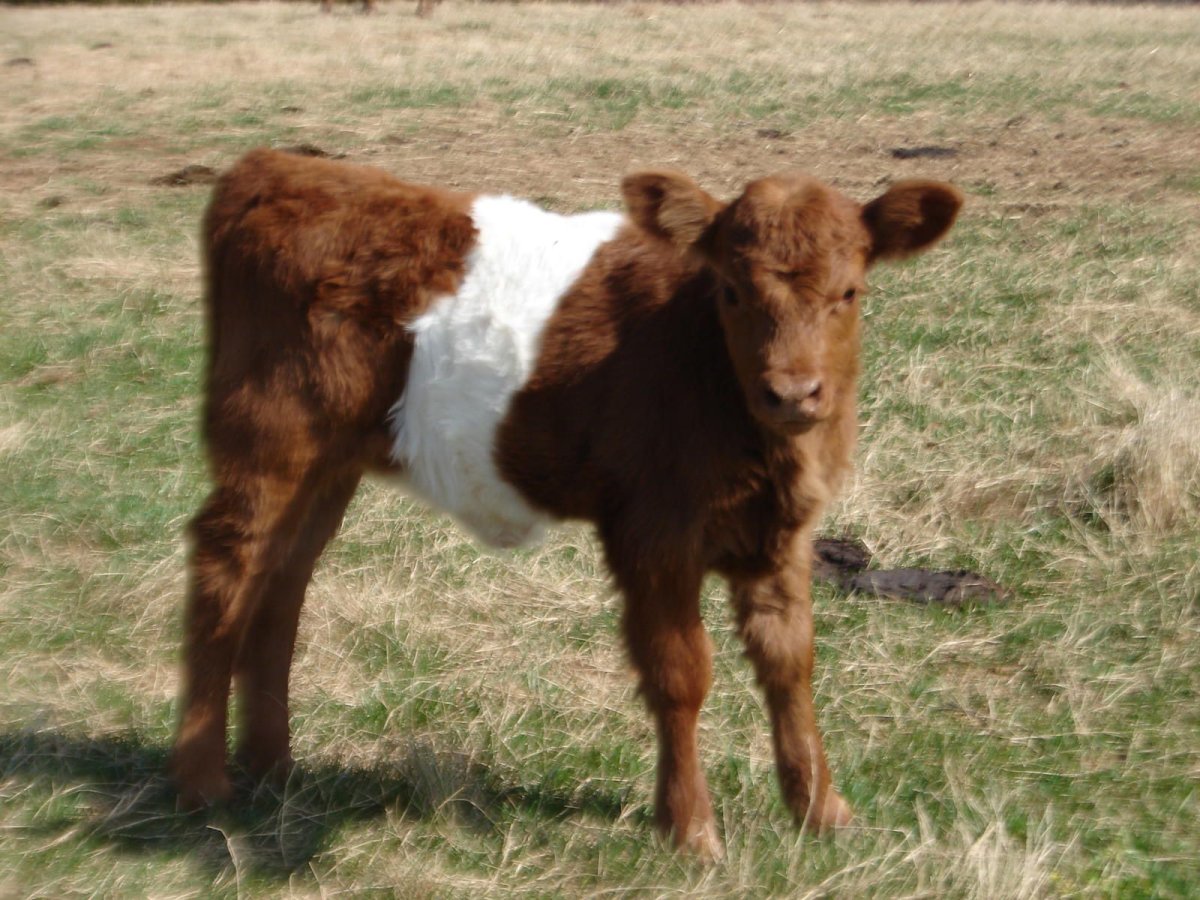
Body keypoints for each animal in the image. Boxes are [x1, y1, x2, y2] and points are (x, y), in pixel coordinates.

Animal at [171, 148, 961, 857]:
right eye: (733, 291)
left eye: (849, 292)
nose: (793, 393)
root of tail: (274, 166)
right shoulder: (652, 533)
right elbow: (681, 674)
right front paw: (691, 830)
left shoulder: (782, 535)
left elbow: (789, 662)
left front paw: (821, 810)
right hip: (270, 442)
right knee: (226, 569)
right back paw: (203, 783)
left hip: (328, 465)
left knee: (282, 582)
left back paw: (274, 765)